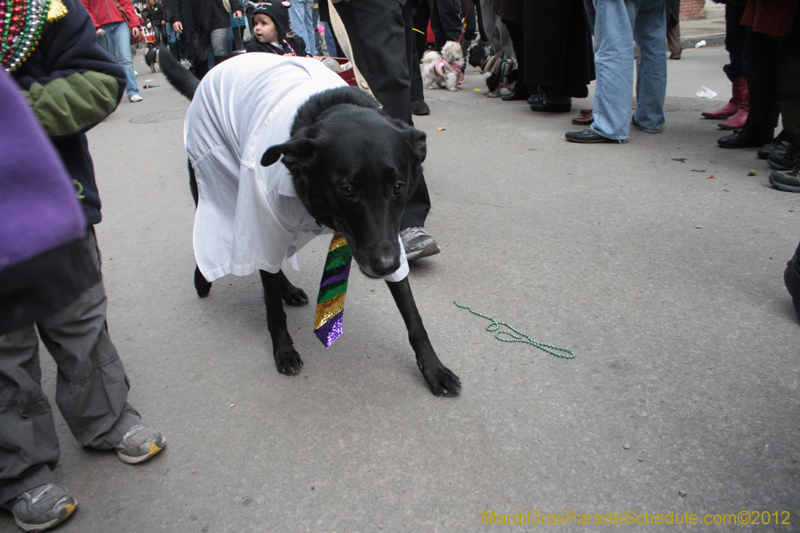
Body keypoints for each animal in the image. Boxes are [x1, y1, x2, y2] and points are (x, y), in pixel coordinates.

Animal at [159, 45, 460, 394]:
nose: (385, 266)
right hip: (216, 184)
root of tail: (212, 72)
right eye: (347, 190)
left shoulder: (387, 237)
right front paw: (283, 349)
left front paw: (433, 368)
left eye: (398, 186)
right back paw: (205, 278)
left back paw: (287, 290)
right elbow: (272, 306)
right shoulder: (263, 215)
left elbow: (412, 313)